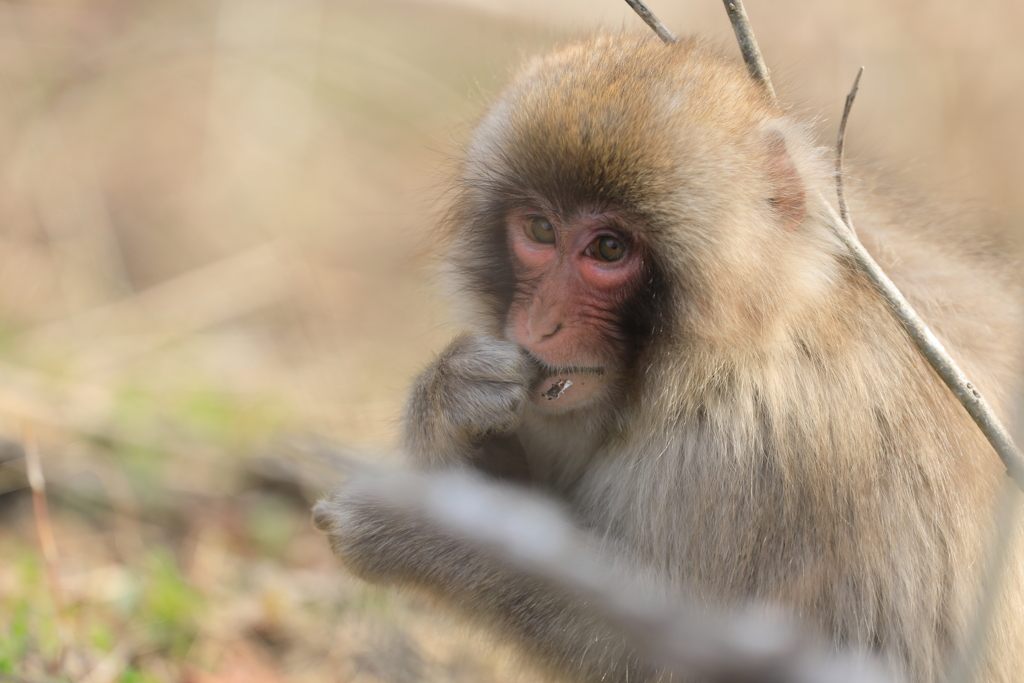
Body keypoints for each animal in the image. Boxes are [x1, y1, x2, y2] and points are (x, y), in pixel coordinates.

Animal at [313, 33, 1024, 683]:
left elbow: (689, 652)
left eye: (607, 248)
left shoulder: (757, 450)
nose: (540, 323)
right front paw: (451, 402)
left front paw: (420, 534)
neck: (743, 344)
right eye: (540, 230)